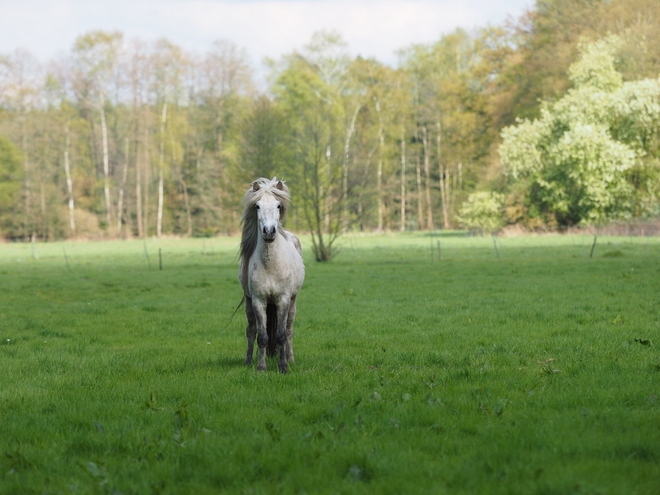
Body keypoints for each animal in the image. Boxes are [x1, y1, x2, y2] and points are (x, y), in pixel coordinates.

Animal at [240, 178, 306, 372]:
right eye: (257, 206)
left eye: (278, 205)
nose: (269, 231)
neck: (270, 264)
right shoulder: (258, 300)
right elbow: (261, 336)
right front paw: (261, 367)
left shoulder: (283, 299)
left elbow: (281, 335)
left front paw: (283, 367)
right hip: (249, 302)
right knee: (251, 330)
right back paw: (248, 361)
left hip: (292, 301)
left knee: (289, 329)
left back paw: (291, 358)